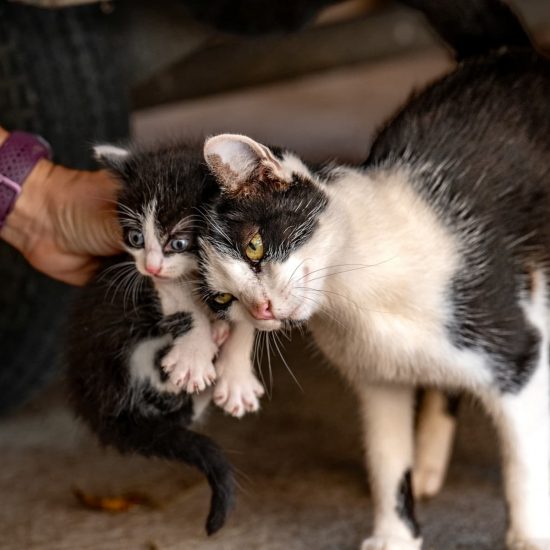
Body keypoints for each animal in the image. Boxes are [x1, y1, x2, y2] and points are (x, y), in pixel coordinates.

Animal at [199, 2, 550, 548]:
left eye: (255, 246)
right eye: (222, 298)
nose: (263, 308)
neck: (361, 299)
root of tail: (511, 55)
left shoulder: (515, 349)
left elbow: (523, 460)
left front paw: (529, 534)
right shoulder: (376, 379)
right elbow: (387, 462)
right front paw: (394, 534)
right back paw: (428, 464)